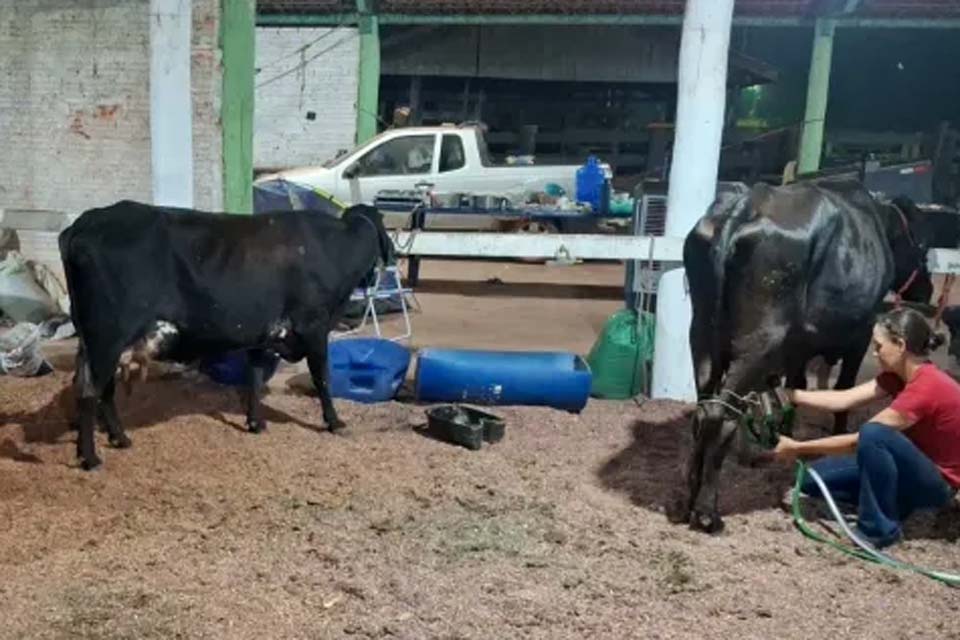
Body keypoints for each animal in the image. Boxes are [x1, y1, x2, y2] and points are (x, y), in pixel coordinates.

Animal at [60, 200, 392, 470]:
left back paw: (119, 438)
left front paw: (255, 422)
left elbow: (254, 376)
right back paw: (91, 457)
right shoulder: (314, 326)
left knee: (99, 388)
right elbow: (322, 376)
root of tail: (84, 223)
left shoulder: (263, 332)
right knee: (90, 390)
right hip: (106, 337)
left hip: (95, 341)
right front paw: (335, 422)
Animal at [672, 178, 932, 532]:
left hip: (701, 333)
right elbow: (843, 391)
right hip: (761, 339)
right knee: (721, 414)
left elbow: (796, 388)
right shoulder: (861, 333)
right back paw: (707, 513)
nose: (928, 290)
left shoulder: (798, 347)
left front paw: (785, 434)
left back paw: (687, 502)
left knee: (704, 409)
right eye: (921, 248)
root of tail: (748, 202)